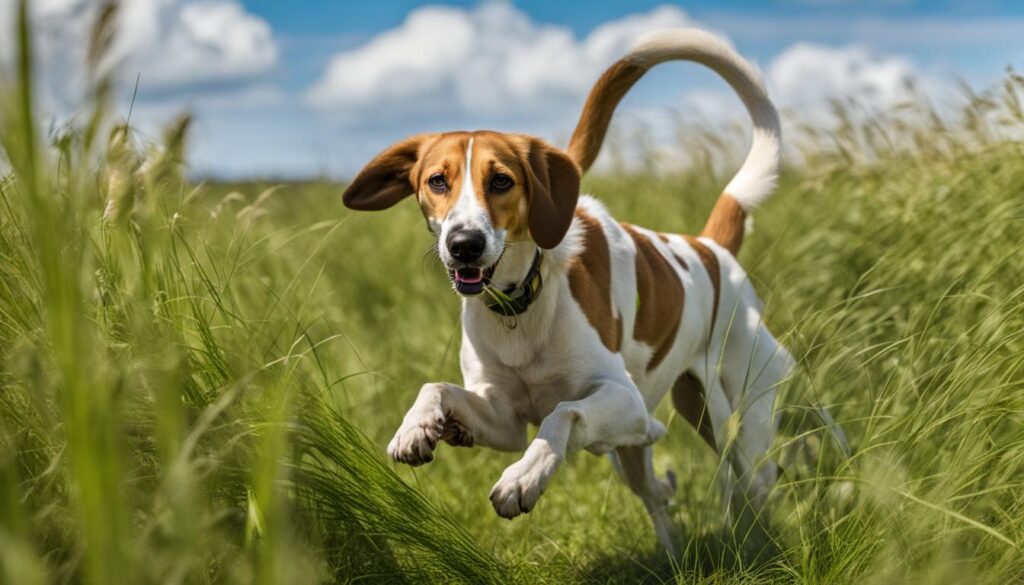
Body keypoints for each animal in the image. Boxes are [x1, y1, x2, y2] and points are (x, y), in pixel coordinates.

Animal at [339, 28, 835, 557]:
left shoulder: (621, 398)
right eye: (437, 181)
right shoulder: (502, 419)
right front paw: (416, 426)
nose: (464, 245)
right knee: (655, 490)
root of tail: (710, 247)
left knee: (755, 478)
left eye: (501, 181)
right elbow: (437, 388)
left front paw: (525, 477)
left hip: (739, 417)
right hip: (659, 432)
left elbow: (564, 413)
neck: (522, 304)